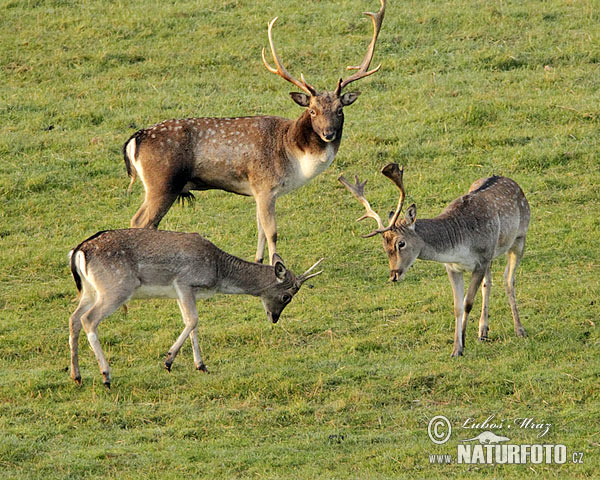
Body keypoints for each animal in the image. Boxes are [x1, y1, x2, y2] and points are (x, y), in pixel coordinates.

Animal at [68, 228, 324, 386]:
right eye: (287, 296)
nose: (274, 318)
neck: (218, 271)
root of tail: (79, 251)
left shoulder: (182, 292)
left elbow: (192, 324)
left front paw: (201, 365)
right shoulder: (184, 282)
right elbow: (193, 320)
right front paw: (168, 361)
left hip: (90, 291)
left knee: (73, 319)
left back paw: (76, 376)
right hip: (116, 287)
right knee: (88, 319)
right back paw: (106, 375)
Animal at [122, 0, 386, 264]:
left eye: (340, 109)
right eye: (312, 111)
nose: (328, 133)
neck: (293, 156)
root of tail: (135, 140)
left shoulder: (258, 192)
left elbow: (259, 230)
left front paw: (258, 261)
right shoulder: (265, 185)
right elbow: (272, 232)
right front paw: (277, 265)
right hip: (163, 183)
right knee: (140, 221)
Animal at [340, 165, 532, 356]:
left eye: (401, 243)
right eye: (384, 246)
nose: (393, 275)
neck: (461, 246)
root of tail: (512, 182)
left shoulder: (482, 260)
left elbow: (468, 303)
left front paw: (463, 341)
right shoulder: (453, 267)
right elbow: (457, 306)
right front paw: (457, 348)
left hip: (519, 238)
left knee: (508, 279)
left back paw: (519, 330)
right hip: (493, 254)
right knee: (488, 283)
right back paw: (483, 332)